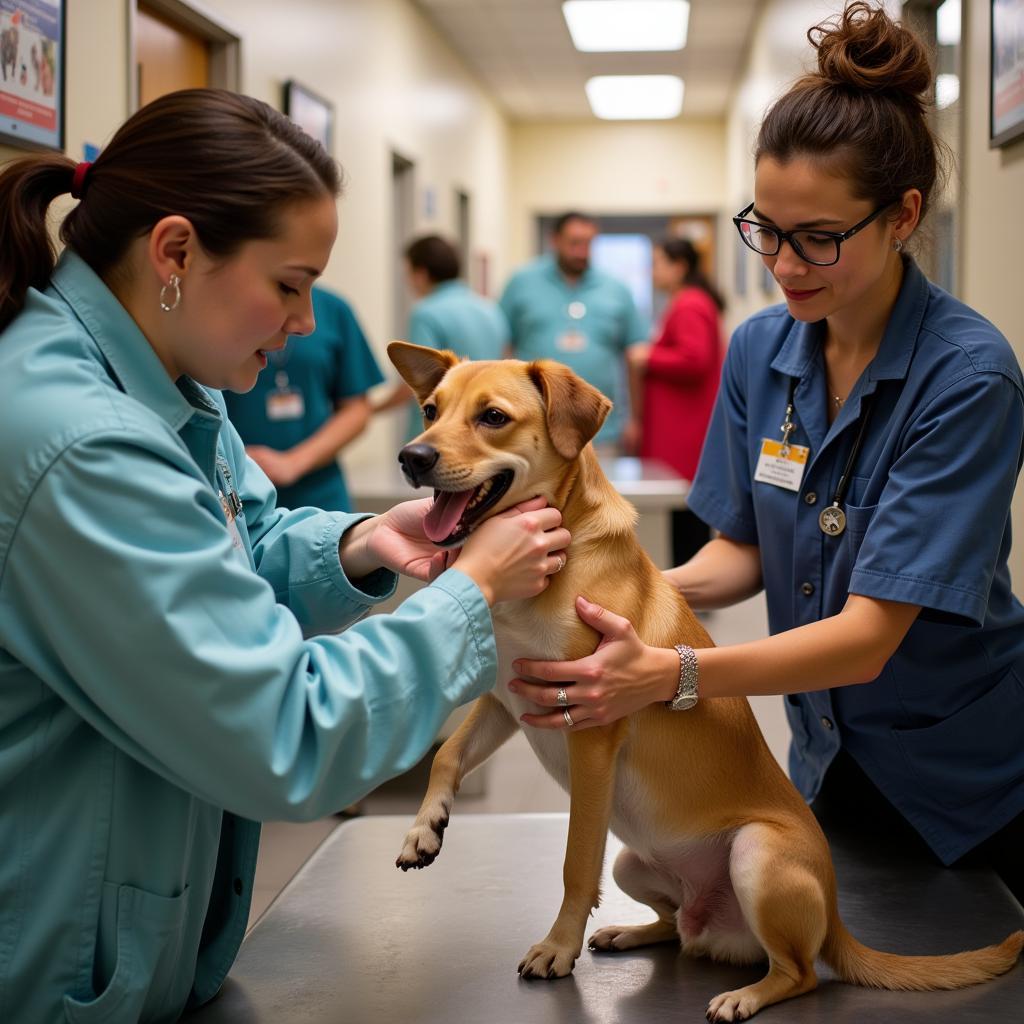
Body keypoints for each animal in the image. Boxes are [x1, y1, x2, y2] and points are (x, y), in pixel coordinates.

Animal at [387, 339, 1019, 1019]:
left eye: (493, 417)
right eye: (430, 411)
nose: (412, 457)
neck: (551, 562)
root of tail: (835, 918)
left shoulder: (588, 733)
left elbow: (574, 862)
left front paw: (558, 947)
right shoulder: (508, 702)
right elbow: (448, 754)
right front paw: (424, 829)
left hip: (756, 855)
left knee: (799, 973)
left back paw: (744, 995)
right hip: (633, 865)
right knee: (679, 931)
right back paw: (632, 930)